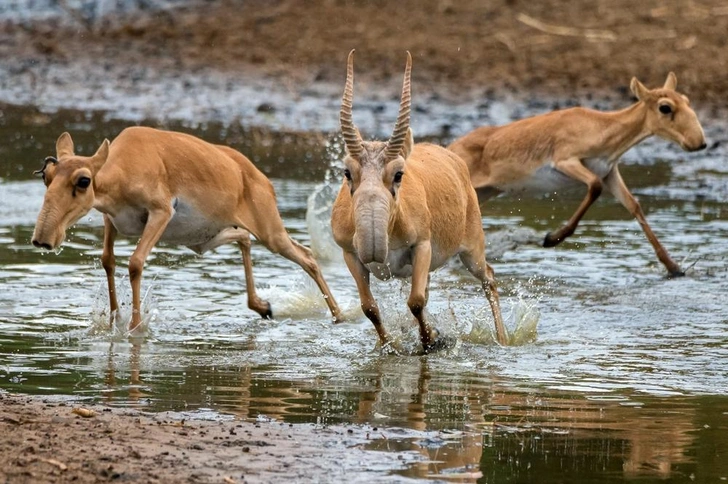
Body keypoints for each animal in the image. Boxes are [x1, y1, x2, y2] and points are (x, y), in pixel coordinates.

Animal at [31, 126, 344, 330]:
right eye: (46, 176)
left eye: (83, 181)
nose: (42, 239)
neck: (124, 167)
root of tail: (258, 176)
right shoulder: (112, 219)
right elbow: (108, 260)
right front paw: (114, 321)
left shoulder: (160, 213)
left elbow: (135, 263)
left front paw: (135, 327)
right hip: (206, 238)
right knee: (244, 237)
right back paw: (263, 306)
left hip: (271, 232)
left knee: (306, 256)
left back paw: (340, 316)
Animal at [332, 51, 506, 352]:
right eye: (347, 172)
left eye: (398, 174)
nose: (373, 245)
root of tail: (449, 155)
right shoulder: (350, 254)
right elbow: (369, 307)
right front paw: (392, 345)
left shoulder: (422, 245)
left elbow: (415, 302)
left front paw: (430, 340)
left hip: (472, 250)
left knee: (489, 278)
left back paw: (504, 339)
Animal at [450, 71, 704, 276]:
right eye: (665, 107)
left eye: (687, 100)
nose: (699, 143)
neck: (603, 128)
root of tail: (451, 148)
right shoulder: (566, 161)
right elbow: (594, 187)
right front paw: (551, 239)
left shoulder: (610, 172)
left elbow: (634, 205)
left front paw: (674, 267)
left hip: (485, 192)